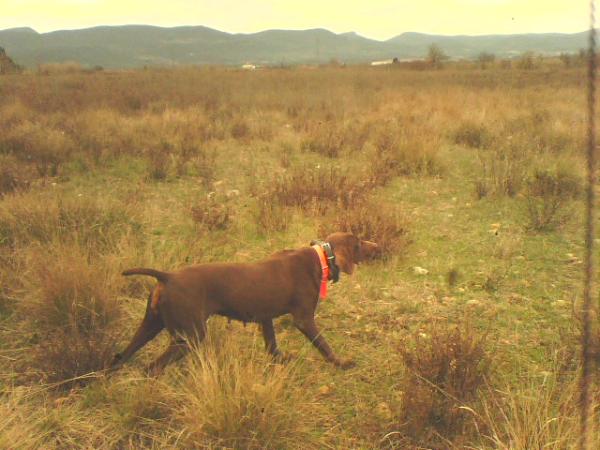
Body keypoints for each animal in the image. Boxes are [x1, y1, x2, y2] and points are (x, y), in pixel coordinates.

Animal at [110, 232, 378, 372]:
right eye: (358, 242)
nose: (376, 245)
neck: (319, 258)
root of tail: (167, 277)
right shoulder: (303, 319)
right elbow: (324, 345)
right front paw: (341, 362)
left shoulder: (265, 318)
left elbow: (272, 346)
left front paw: (280, 361)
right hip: (190, 336)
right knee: (151, 368)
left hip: (150, 326)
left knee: (121, 357)